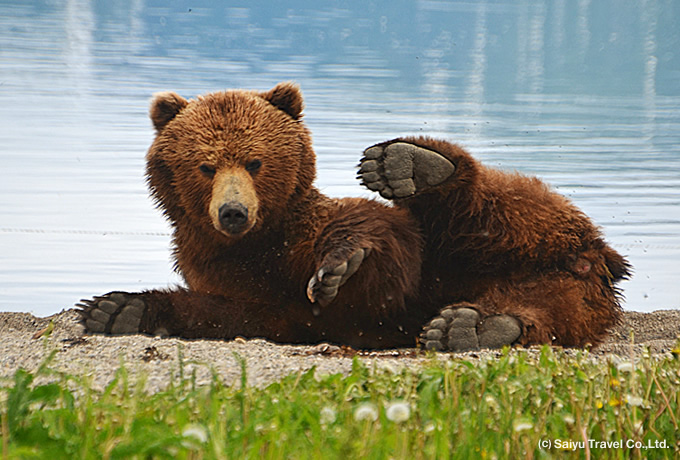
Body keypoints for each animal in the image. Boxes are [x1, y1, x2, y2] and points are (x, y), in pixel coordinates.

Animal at [77, 82, 628, 350]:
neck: (261, 240)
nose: (233, 212)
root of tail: (593, 259)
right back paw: (475, 327)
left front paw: (338, 266)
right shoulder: (224, 270)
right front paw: (116, 309)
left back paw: (412, 164)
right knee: (550, 310)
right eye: (206, 165)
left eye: (255, 161)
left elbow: (378, 242)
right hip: (564, 291)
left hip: (509, 236)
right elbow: (235, 312)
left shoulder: (315, 233)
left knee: (496, 207)